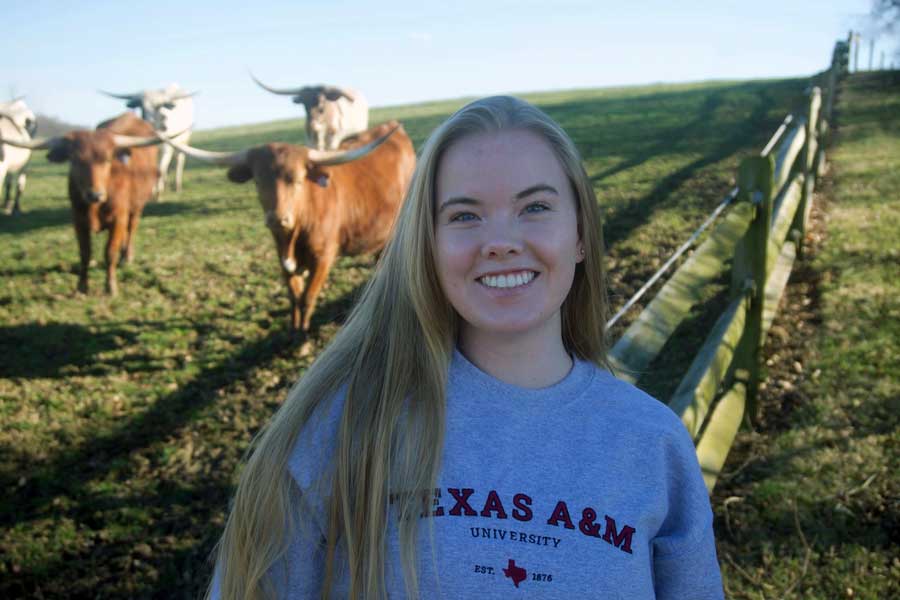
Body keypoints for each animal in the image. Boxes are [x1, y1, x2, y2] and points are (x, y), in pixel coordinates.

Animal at [1, 113, 163, 296]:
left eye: (107, 159)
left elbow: (110, 252)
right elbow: (85, 253)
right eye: (75, 160)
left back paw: (126, 257)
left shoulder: (118, 219)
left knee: (131, 230)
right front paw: (81, 287)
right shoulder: (79, 221)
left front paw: (111, 287)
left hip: (136, 208)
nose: (95, 194)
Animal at [159, 119, 414, 330]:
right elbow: (294, 297)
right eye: (258, 181)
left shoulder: (323, 258)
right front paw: (294, 329)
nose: (277, 218)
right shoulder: (284, 261)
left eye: (298, 180)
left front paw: (302, 337)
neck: (292, 237)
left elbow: (308, 298)